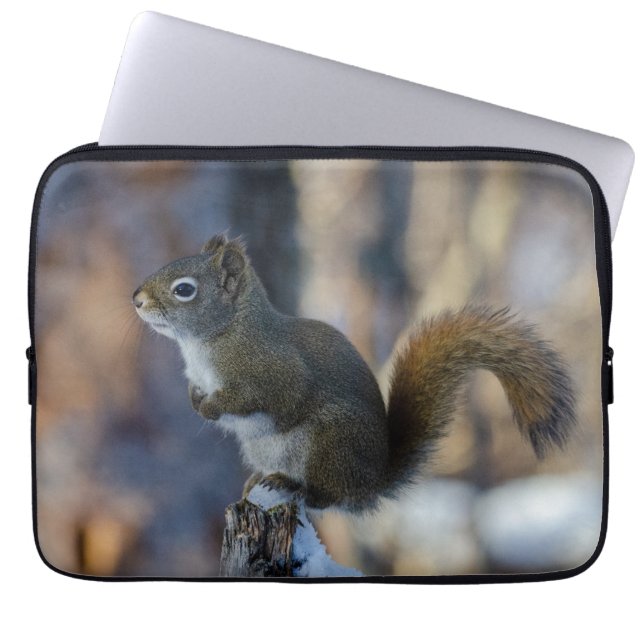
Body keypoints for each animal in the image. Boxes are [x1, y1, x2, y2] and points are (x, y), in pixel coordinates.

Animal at [133, 233, 575, 512]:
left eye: (184, 289)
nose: (136, 299)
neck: (214, 338)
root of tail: (372, 480)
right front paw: (195, 400)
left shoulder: (274, 370)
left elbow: (266, 397)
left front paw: (210, 407)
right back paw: (261, 481)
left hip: (330, 440)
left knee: (329, 495)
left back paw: (296, 487)